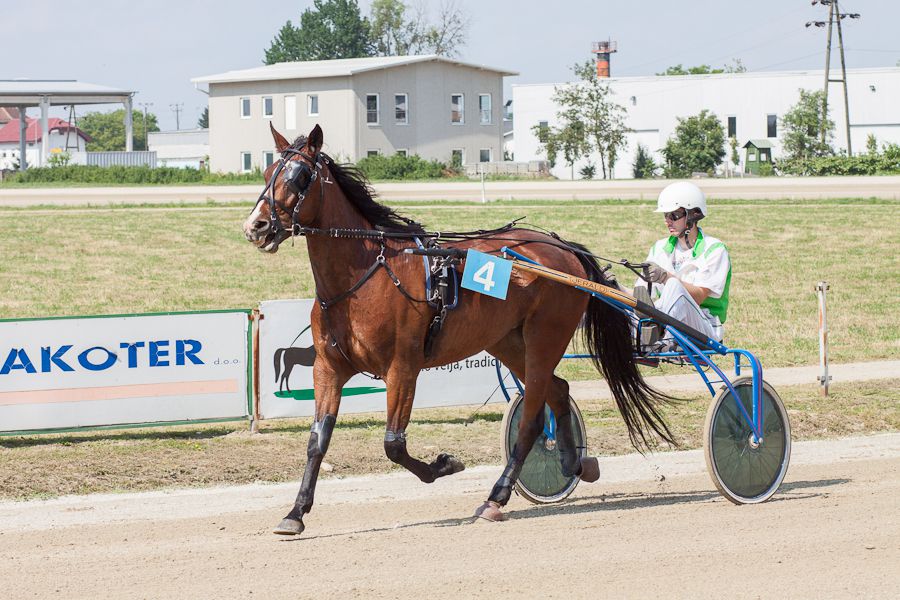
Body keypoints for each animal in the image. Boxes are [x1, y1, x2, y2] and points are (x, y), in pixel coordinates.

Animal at [243, 124, 672, 536]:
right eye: (267, 172)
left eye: (300, 176)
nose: (256, 226)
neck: (363, 277)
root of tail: (562, 247)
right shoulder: (328, 368)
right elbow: (317, 441)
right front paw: (295, 512)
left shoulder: (403, 368)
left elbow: (393, 445)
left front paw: (444, 464)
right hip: (507, 341)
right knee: (558, 390)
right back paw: (575, 464)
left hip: (545, 337)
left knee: (532, 416)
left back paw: (496, 497)